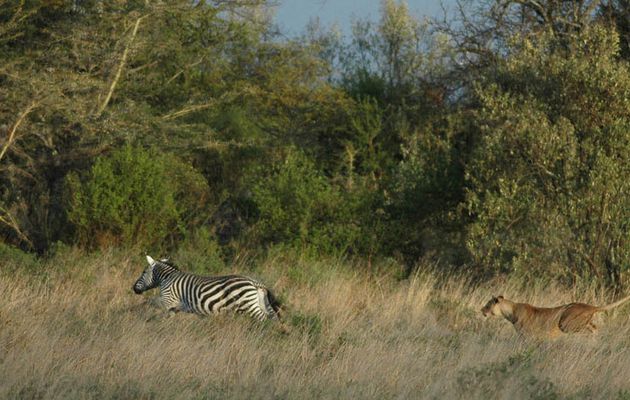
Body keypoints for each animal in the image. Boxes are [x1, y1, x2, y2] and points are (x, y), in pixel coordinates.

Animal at [133, 256, 282, 322]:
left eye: (143, 272)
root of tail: (254, 282)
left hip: (249, 305)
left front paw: (133, 313)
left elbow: (148, 302)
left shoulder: (167, 299)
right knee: (272, 318)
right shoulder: (174, 307)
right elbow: (166, 317)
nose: (134, 289)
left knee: (263, 319)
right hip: (260, 303)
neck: (167, 278)